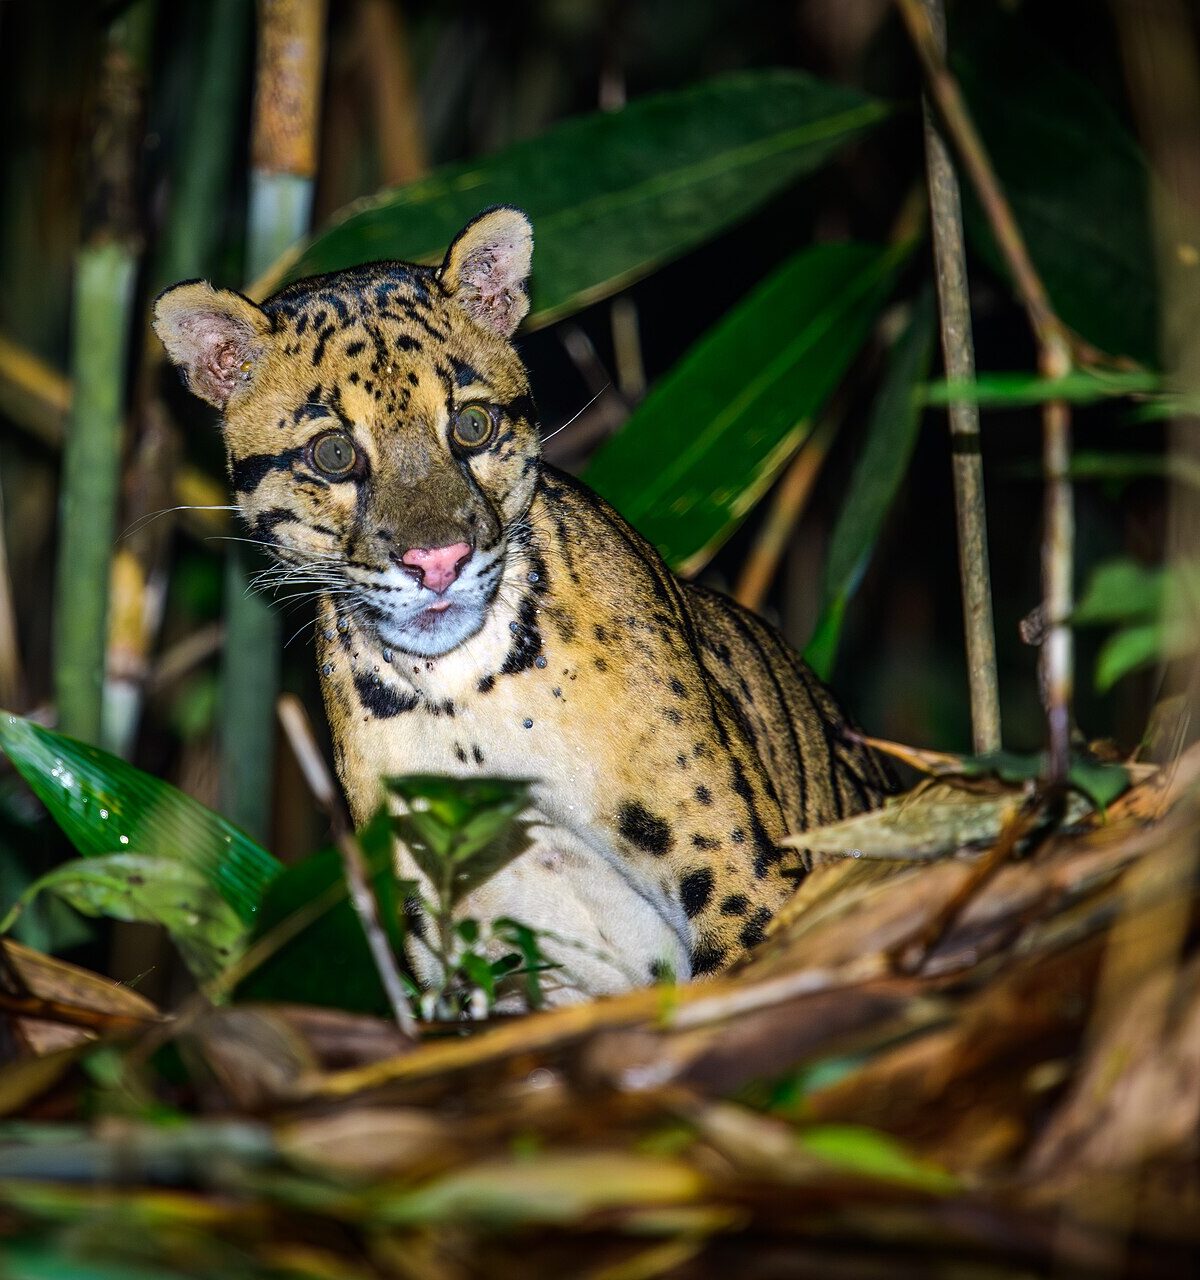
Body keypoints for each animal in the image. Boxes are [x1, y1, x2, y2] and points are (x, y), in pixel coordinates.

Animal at [153, 206, 891, 1005]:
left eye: (471, 426)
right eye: (334, 455)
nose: (437, 561)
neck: (461, 696)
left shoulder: (739, 877)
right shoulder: (462, 950)